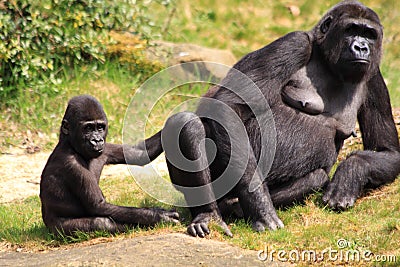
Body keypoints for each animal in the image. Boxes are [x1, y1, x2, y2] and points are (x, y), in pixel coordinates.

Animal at [40, 95, 178, 236]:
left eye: (100, 127)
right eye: (88, 128)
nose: (97, 140)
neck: (70, 144)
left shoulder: (105, 147)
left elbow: (141, 153)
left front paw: (174, 122)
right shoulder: (71, 164)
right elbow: (98, 206)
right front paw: (157, 215)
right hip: (57, 230)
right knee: (101, 223)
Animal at [151, 0, 400, 239]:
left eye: (369, 34)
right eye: (351, 29)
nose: (361, 47)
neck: (328, 62)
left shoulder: (375, 77)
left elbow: (387, 151)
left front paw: (350, 173)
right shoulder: (294, 43)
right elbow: (228, 107)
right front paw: (262, 208)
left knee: (316, 177)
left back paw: (232, 207)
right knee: (189, 126)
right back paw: (208, 215)